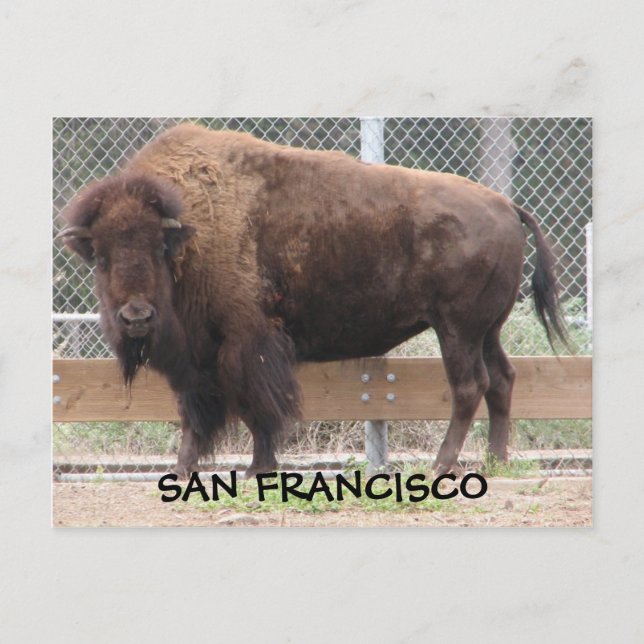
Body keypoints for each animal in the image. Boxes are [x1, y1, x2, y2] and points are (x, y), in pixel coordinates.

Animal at [59, 123, 567, 477]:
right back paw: (497, 461)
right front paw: (182, 471)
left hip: (457, 329)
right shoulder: (196, 358)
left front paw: (258, 469)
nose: (136, 316)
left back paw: (441, 465)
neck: (191, 230)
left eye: (157, 249)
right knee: (502, 379)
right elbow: (193, 415)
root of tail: (505, 205)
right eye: (100, 257)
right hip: (487, 330)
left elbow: (256, 409)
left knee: (469, 387)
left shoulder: (245, 343)